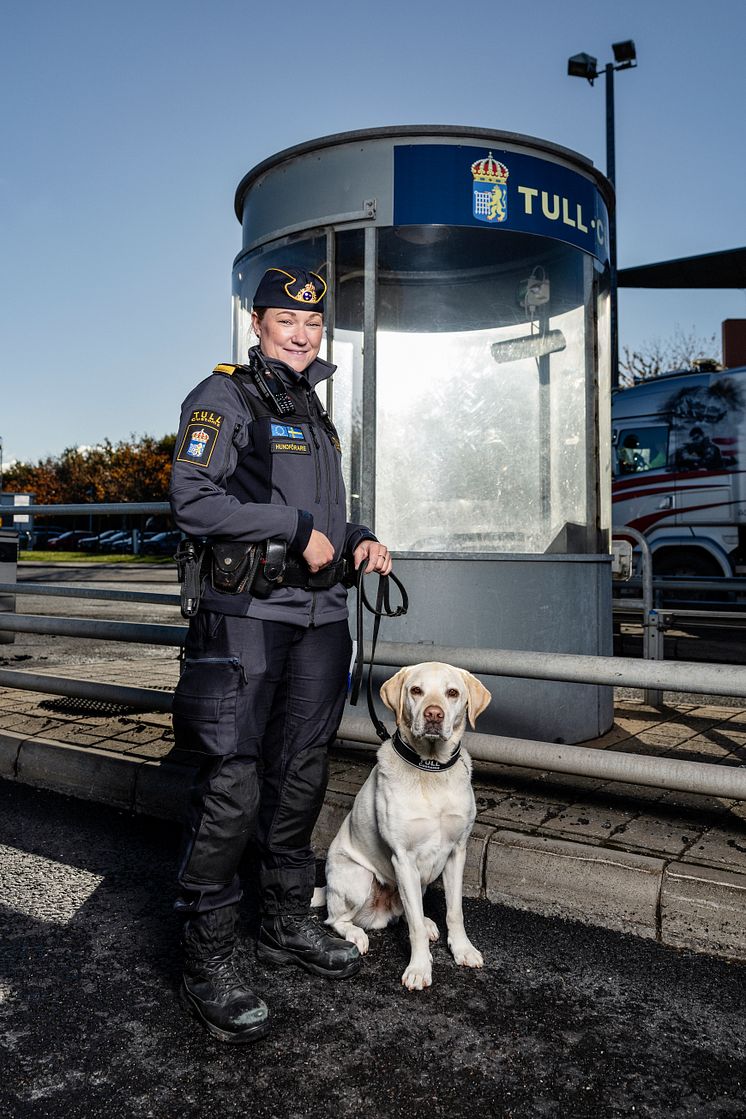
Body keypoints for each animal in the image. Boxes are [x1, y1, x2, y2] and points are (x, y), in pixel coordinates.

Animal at [324, 657, 489, 993]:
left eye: (452, 693)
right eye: (416, 690)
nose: (434, 714)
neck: (431, 768)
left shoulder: (456, 853)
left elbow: (455, 911)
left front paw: (463, 950)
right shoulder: (403, 859)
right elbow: (412, 928)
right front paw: (419, 968)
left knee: (406, 911)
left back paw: (427, 923)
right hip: (358, 878)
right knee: (336, 920)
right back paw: (357, 936)